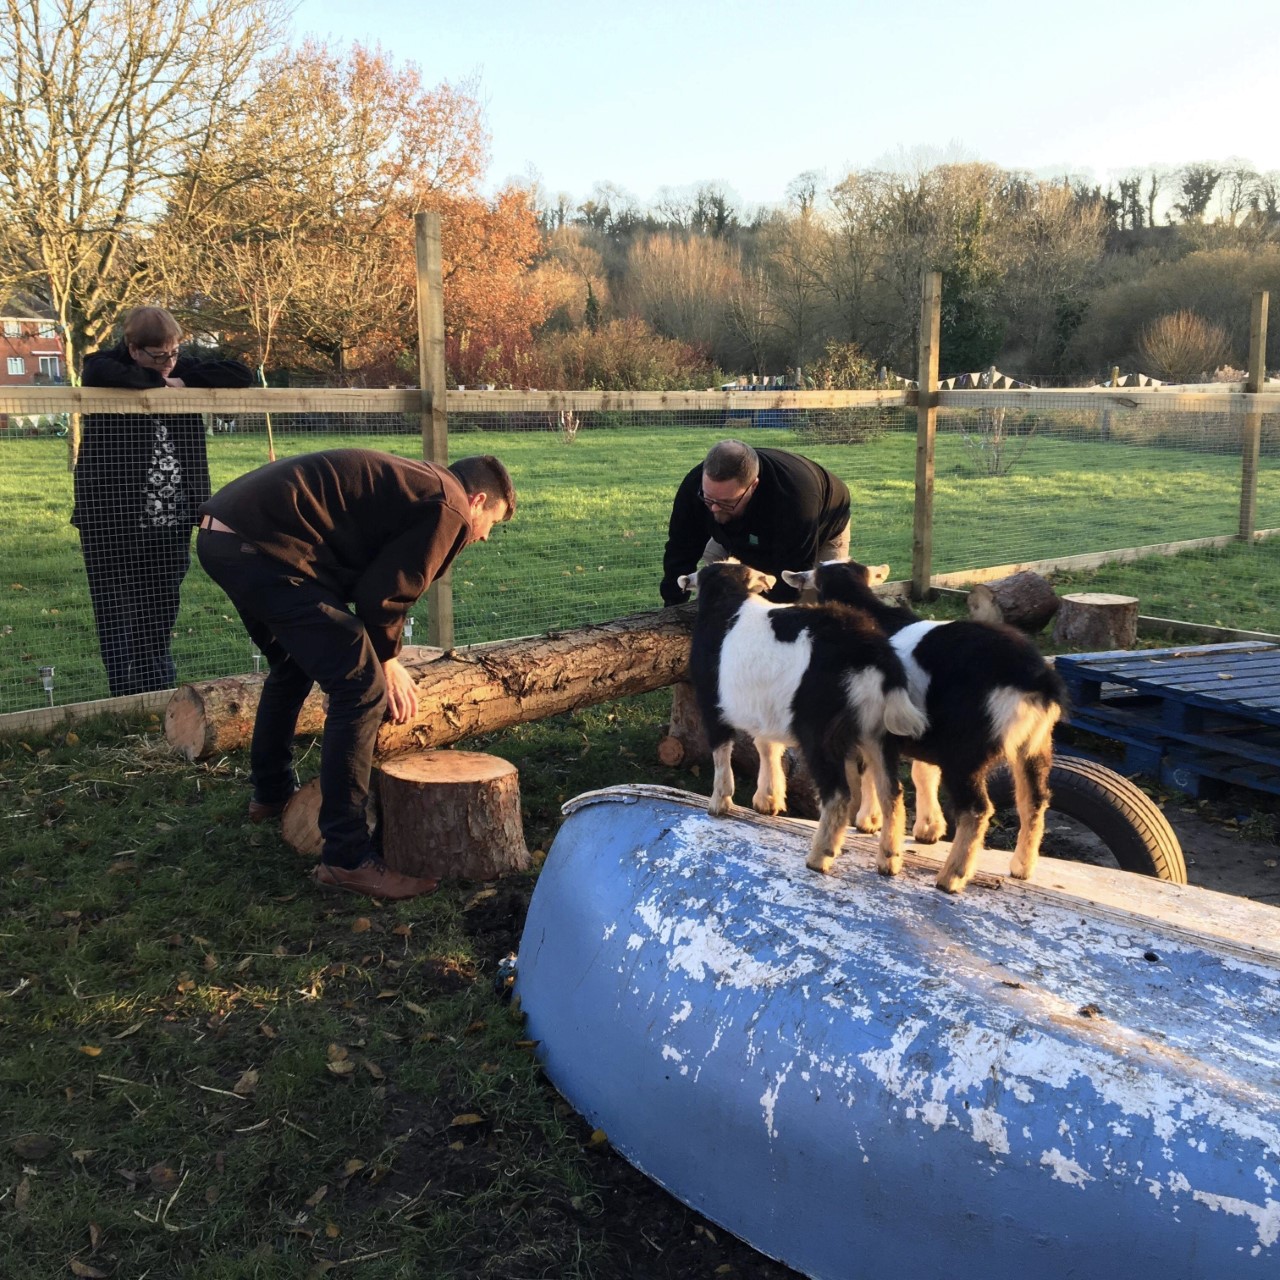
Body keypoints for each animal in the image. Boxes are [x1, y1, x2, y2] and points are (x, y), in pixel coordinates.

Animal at [680, 563, 931, 875]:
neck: (727, 600)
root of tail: (869, 650)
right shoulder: (766, 707)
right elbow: (767, 746)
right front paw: (768, 800)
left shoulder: (711, 703)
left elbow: (721, 753)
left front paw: (719, 804)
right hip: (876, 731)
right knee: (891, 793)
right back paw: (889, 859)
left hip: (820, 731)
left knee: (839, 795)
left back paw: (820, 856)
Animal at [783, 560, 1064, 890]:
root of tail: (1035, 679)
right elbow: (922, 773)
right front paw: (928, 828)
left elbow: (869, 774)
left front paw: (868, 820)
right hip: (1036, 744)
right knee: (1034, 800)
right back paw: (1022, 867)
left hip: (966, 748)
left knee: (977, 809)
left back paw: (951, 877)